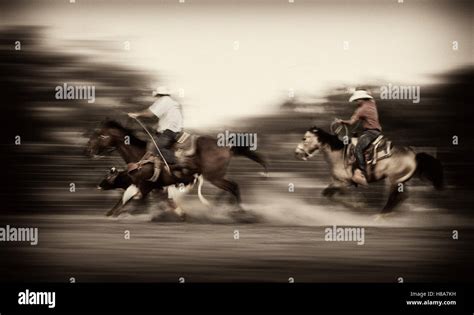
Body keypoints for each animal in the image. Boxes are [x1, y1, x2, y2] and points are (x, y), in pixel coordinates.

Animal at [86, 119, 266, 218]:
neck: (141, 155)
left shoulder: (146, 185)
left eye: (100, 135)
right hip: (217, 177)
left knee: (234, 187)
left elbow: (132, 199)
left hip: (214, 177)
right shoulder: (156, 187)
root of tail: (226, 146)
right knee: (228, 190)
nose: (89, 150)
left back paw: (241, 212)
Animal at [294, 126, 442, 215]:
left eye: (304, 138)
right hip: (402, 181)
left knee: (394, 198)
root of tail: (414, 154)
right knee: (402, 197)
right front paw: (356, 204)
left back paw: (380, 216)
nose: (296, 152)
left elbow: (335, 194)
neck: (338, 154)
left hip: (395, 181)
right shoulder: (337, 182)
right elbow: (327, 194)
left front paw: (358, 205)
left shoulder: (343, 182)